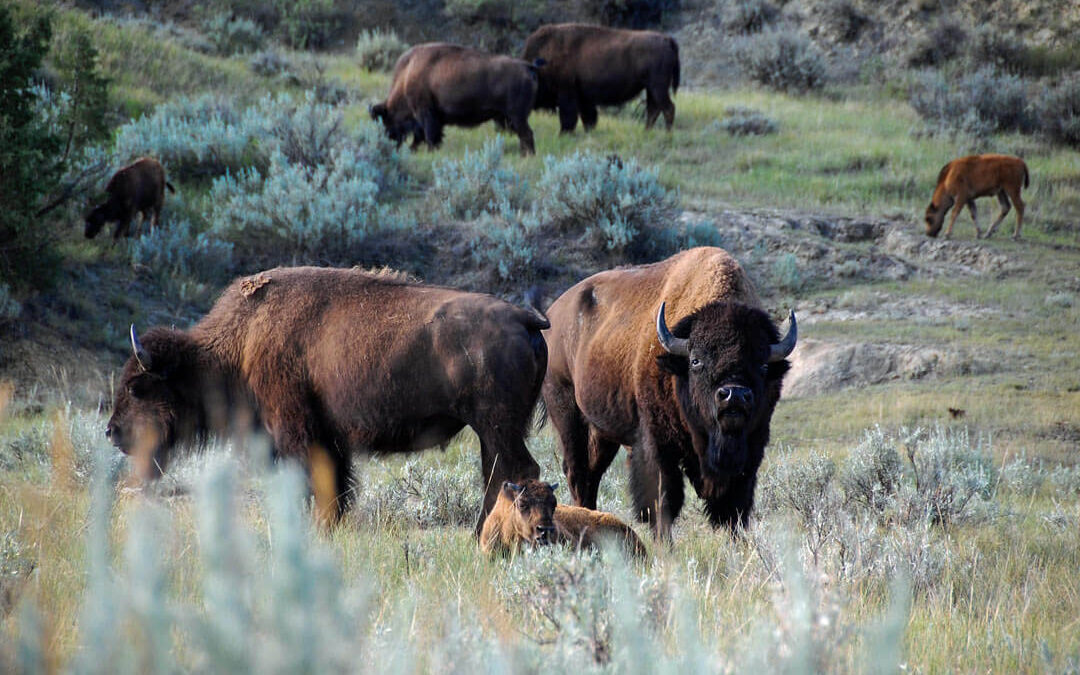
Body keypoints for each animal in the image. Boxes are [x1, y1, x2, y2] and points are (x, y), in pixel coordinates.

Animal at [106, 265, 548, 529]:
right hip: (491, 430)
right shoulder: (330, 438)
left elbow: (311, 482)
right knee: (498, 473)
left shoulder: (294, 432)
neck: (240, 345)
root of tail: (524, 318)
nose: (112, 432)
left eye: (136, 387)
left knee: (516, 470)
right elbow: (337, 484)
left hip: (497, 426)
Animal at [371, 42, 544, 155]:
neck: (407, 75)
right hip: (515, 118)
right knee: (524, 136)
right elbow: (428, 135)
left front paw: (429, 151)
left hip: (517, 116)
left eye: (386, 120)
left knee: (527, 135)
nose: (389, 143)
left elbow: (428, 135)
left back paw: (527, 156)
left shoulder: (424, 112)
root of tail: (527, 66)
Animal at [520, 22, 678, 131]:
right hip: (651, 89)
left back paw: (667, 134)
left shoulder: (567, 95)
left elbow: (568, 119)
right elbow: (588, 119)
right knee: (654, 110)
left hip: (658, 87)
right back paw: (646, 132)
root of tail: (666, 39)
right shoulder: (584, 99)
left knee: (668, 108)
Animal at [544, 247, 799, 537]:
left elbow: (734, 507)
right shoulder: (658, 445)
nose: (734, 395)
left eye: (763, 364)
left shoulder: (751, 447)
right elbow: (663, 500)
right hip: (566, 411)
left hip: (602, 430)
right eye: (696, 361)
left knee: (592, 474)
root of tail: (553, 313)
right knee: (576, 471)